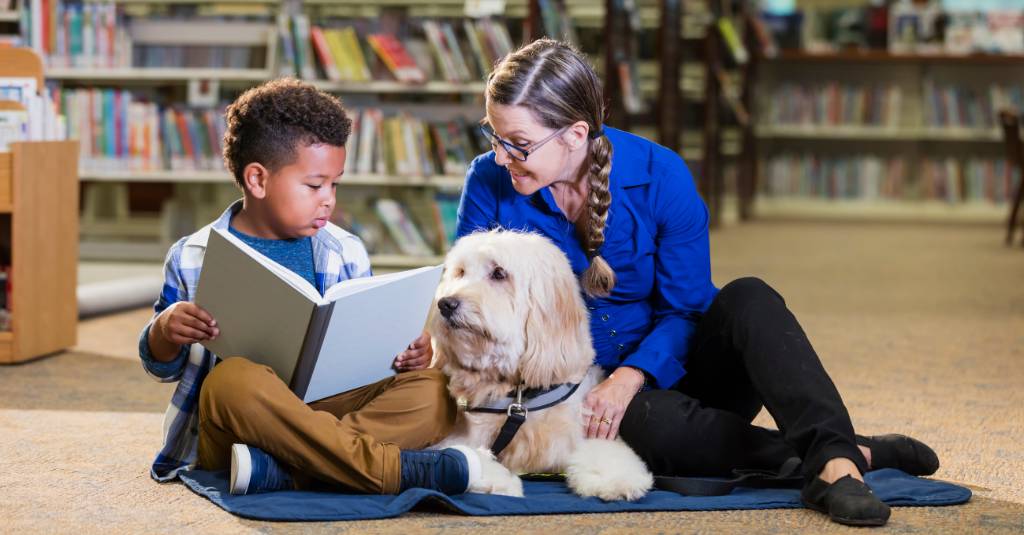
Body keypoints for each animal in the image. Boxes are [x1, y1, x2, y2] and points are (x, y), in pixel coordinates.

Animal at [428, 228, 651, 500]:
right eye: (460, 272)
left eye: (499, 273)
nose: (445, 304)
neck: (519, 395)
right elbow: (457, 453)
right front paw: (496, 479)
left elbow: (604, 453)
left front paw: (617, 479)